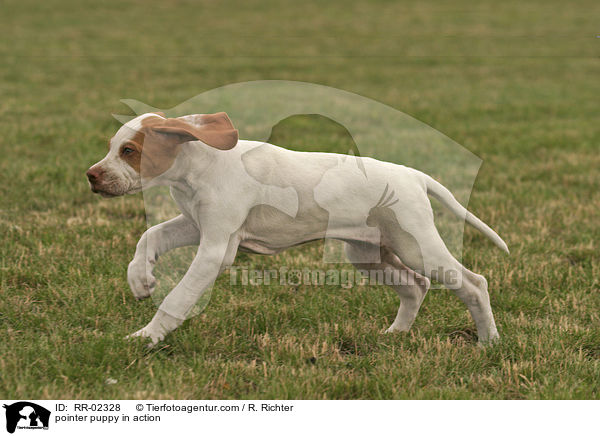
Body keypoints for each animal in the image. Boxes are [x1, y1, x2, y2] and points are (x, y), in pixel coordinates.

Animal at [86, 112, 508, 344]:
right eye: (111, 147)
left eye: (129, 151)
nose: (91, 176)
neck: (199, 167)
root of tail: (414, 176)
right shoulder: (195, 225)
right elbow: (149, 236)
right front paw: (140, 279)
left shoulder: (216, 248)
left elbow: (178, 298)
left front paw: (147, 337)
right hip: (368, 253)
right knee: (415, 286)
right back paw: (395, 335)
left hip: (417, 246)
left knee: (473, 284)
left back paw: (489, 343)